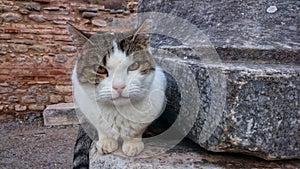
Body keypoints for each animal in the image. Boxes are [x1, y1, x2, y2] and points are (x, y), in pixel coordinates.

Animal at [67, 18, 166, 168]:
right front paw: (106, 141)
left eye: (134, 66)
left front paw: (133, 143)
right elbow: (101, 127)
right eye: (100, 69)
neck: (118, 111)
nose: (119, 86)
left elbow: (138, 128)